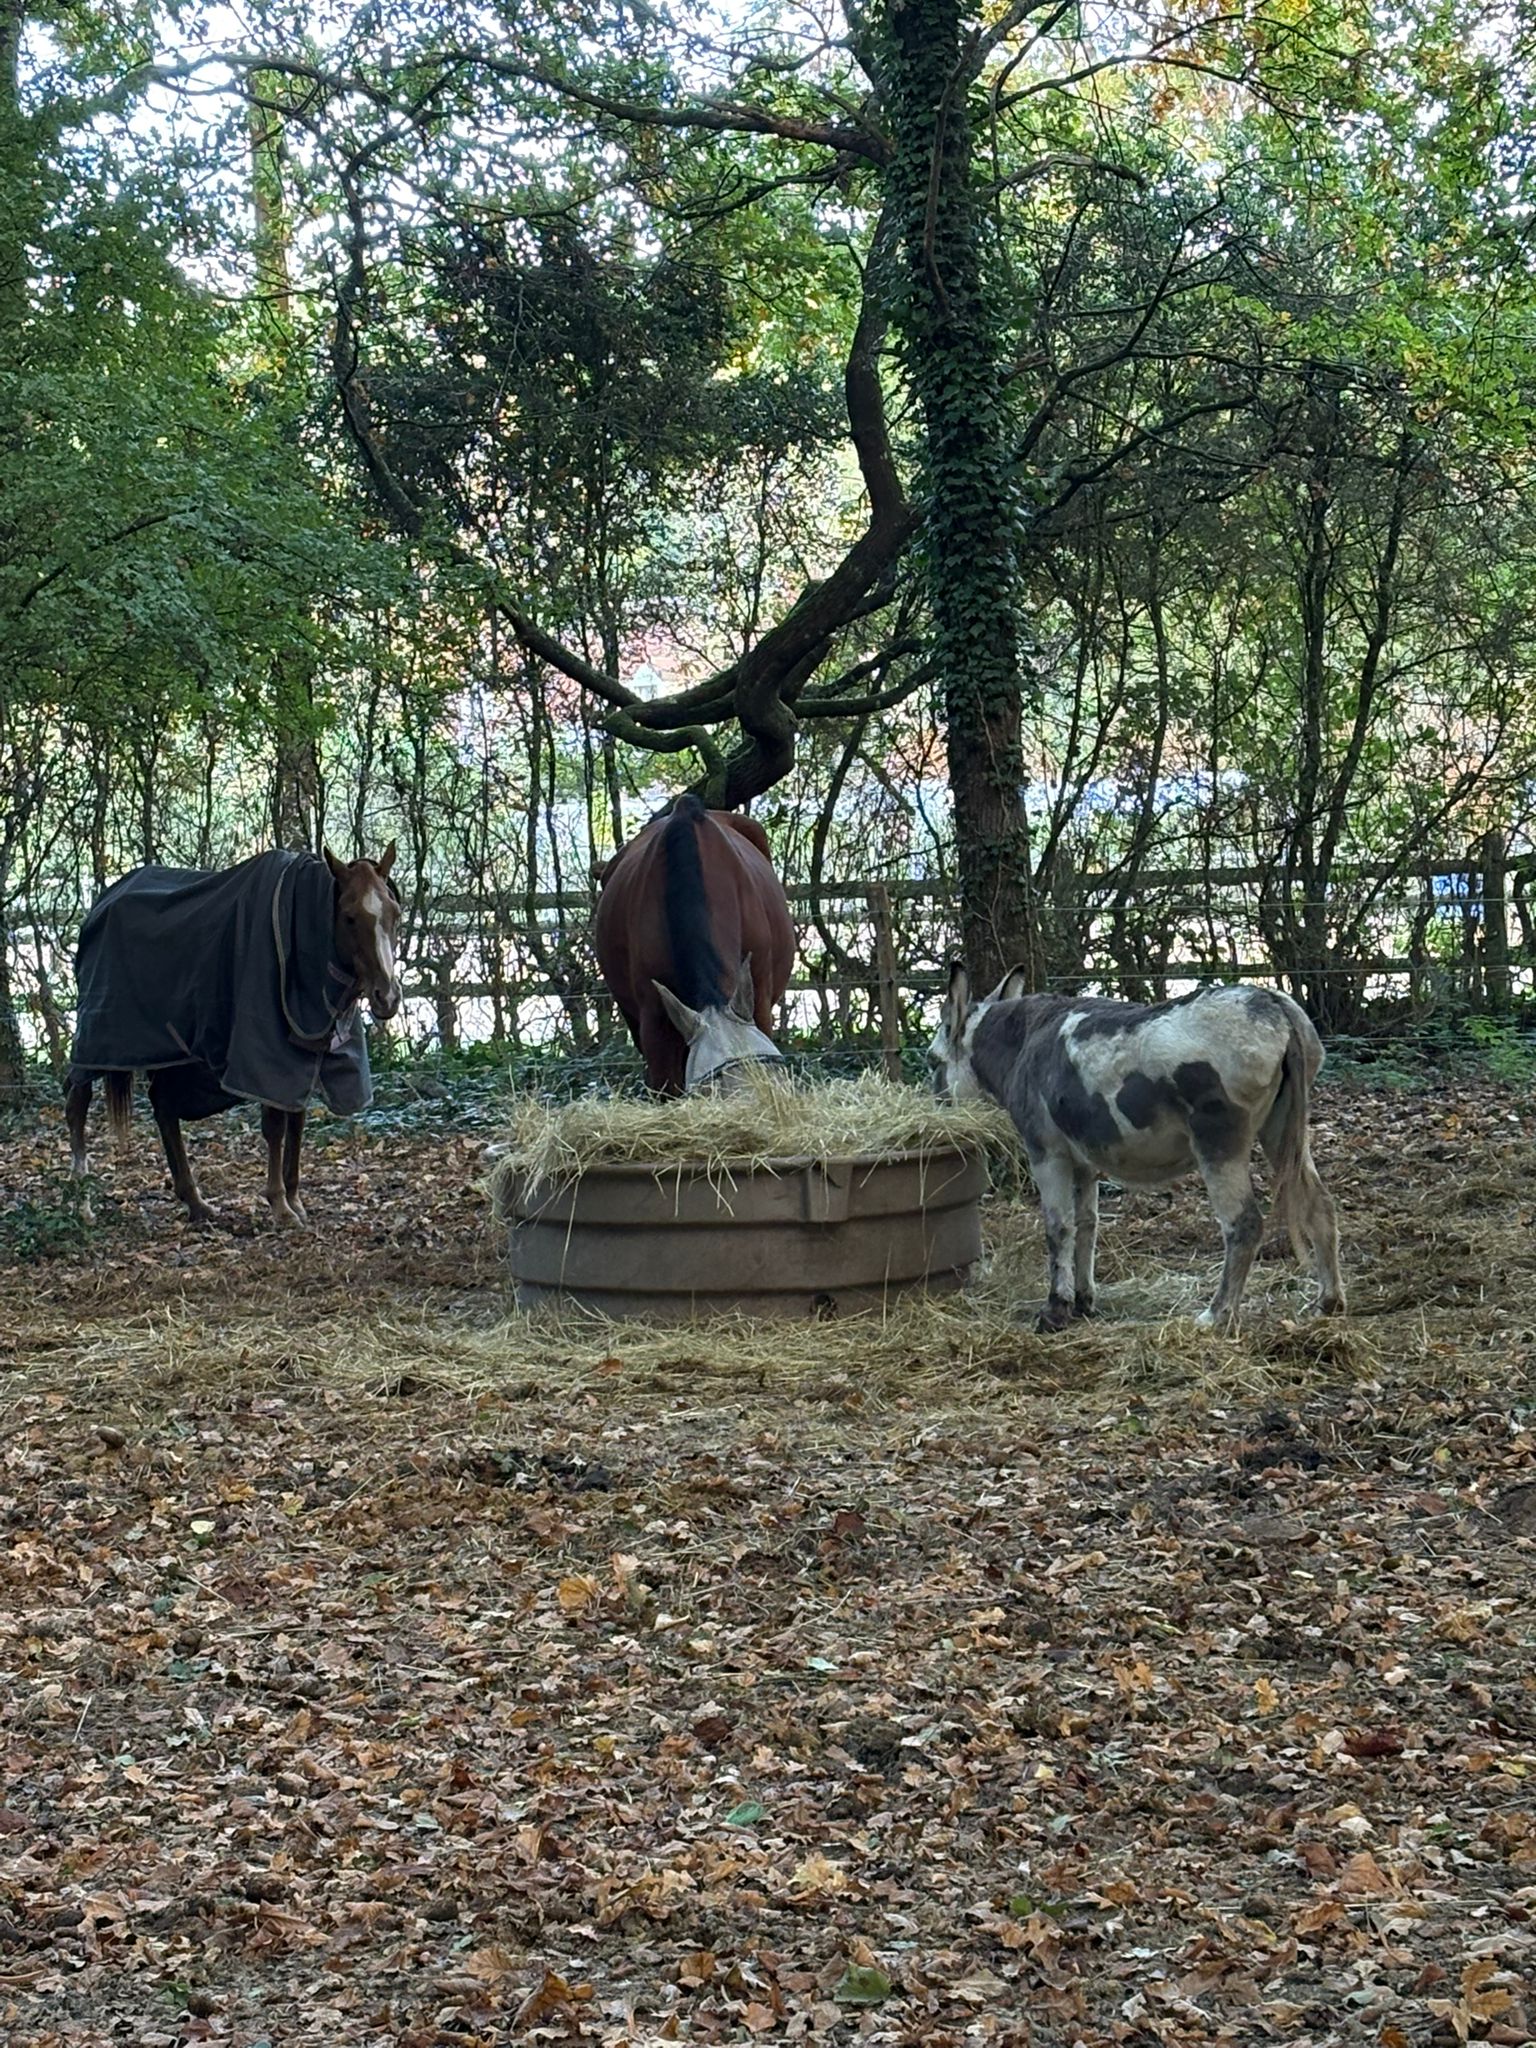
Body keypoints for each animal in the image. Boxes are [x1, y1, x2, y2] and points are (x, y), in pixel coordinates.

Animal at [65, 845, 402, 1227]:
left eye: (395, 913)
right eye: (349, 917)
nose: (387, 997)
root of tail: (100, 905)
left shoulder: (304, 1052)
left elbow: (296, 1121)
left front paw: (295, 1199)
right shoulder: (267, 1056)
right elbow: (275, 1125)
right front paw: (280, 1205)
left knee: (163, 1106)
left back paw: (195, 1202)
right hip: (98, 1039)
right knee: (77, 1102)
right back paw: (82, 1202)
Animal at [929, 965, 1344, 1333]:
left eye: (932, 1062)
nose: (936, 1106)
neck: (1022, 1044)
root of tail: (1276, 1006)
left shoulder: (1046, 1152)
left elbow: (1058, 1227)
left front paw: (1055, 1310)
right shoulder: (1083, 1161)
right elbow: (1087, 1225)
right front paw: (1084, 1302)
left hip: (1219, 1140)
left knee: (1243, 1223)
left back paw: (1217, 1315)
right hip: (1283, 1129)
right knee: (1319, 1203)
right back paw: (1328, 1301)